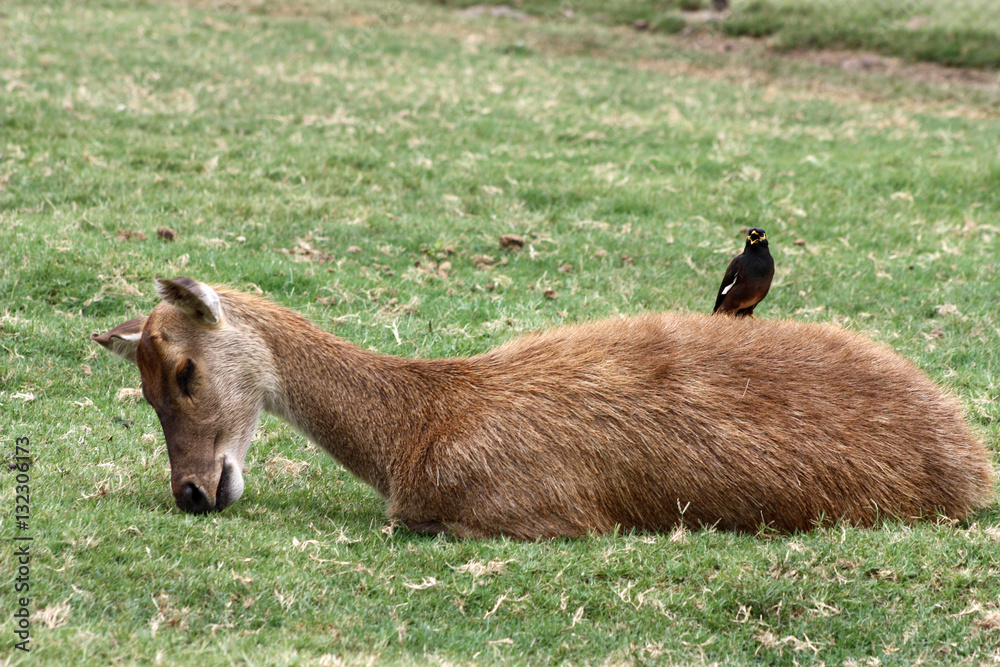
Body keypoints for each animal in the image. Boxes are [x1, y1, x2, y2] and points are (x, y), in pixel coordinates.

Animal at [92, 280, 992, 540]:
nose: (192, 490)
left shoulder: (532, 514)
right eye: (140, 383)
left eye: (182, 371)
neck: (414, 433)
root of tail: (974, 459)